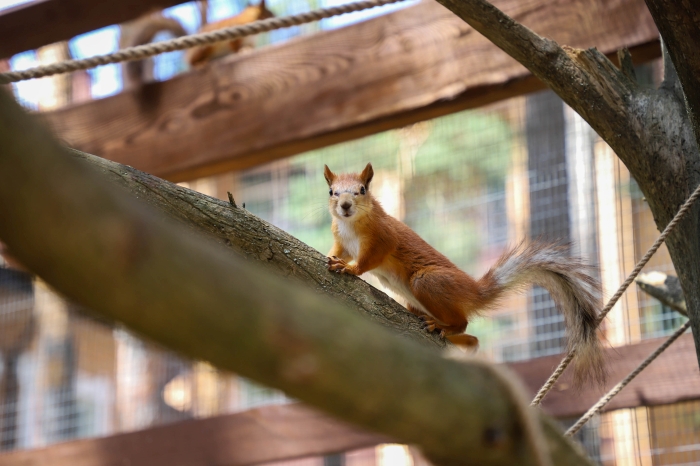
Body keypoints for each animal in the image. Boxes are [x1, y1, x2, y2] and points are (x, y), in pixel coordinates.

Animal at [326, 164, 604, 386]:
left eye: (362, 189)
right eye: (332, 192)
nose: (345, 205)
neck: (350, 224)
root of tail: (475, 292)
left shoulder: (383, 237)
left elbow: (368, 260)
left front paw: (351, 269)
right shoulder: (342, 243)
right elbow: (338, 252)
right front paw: (332, 259)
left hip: (427, 281)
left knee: (462, 322)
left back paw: (441, 327)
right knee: (471, 337)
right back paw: (465, 343)